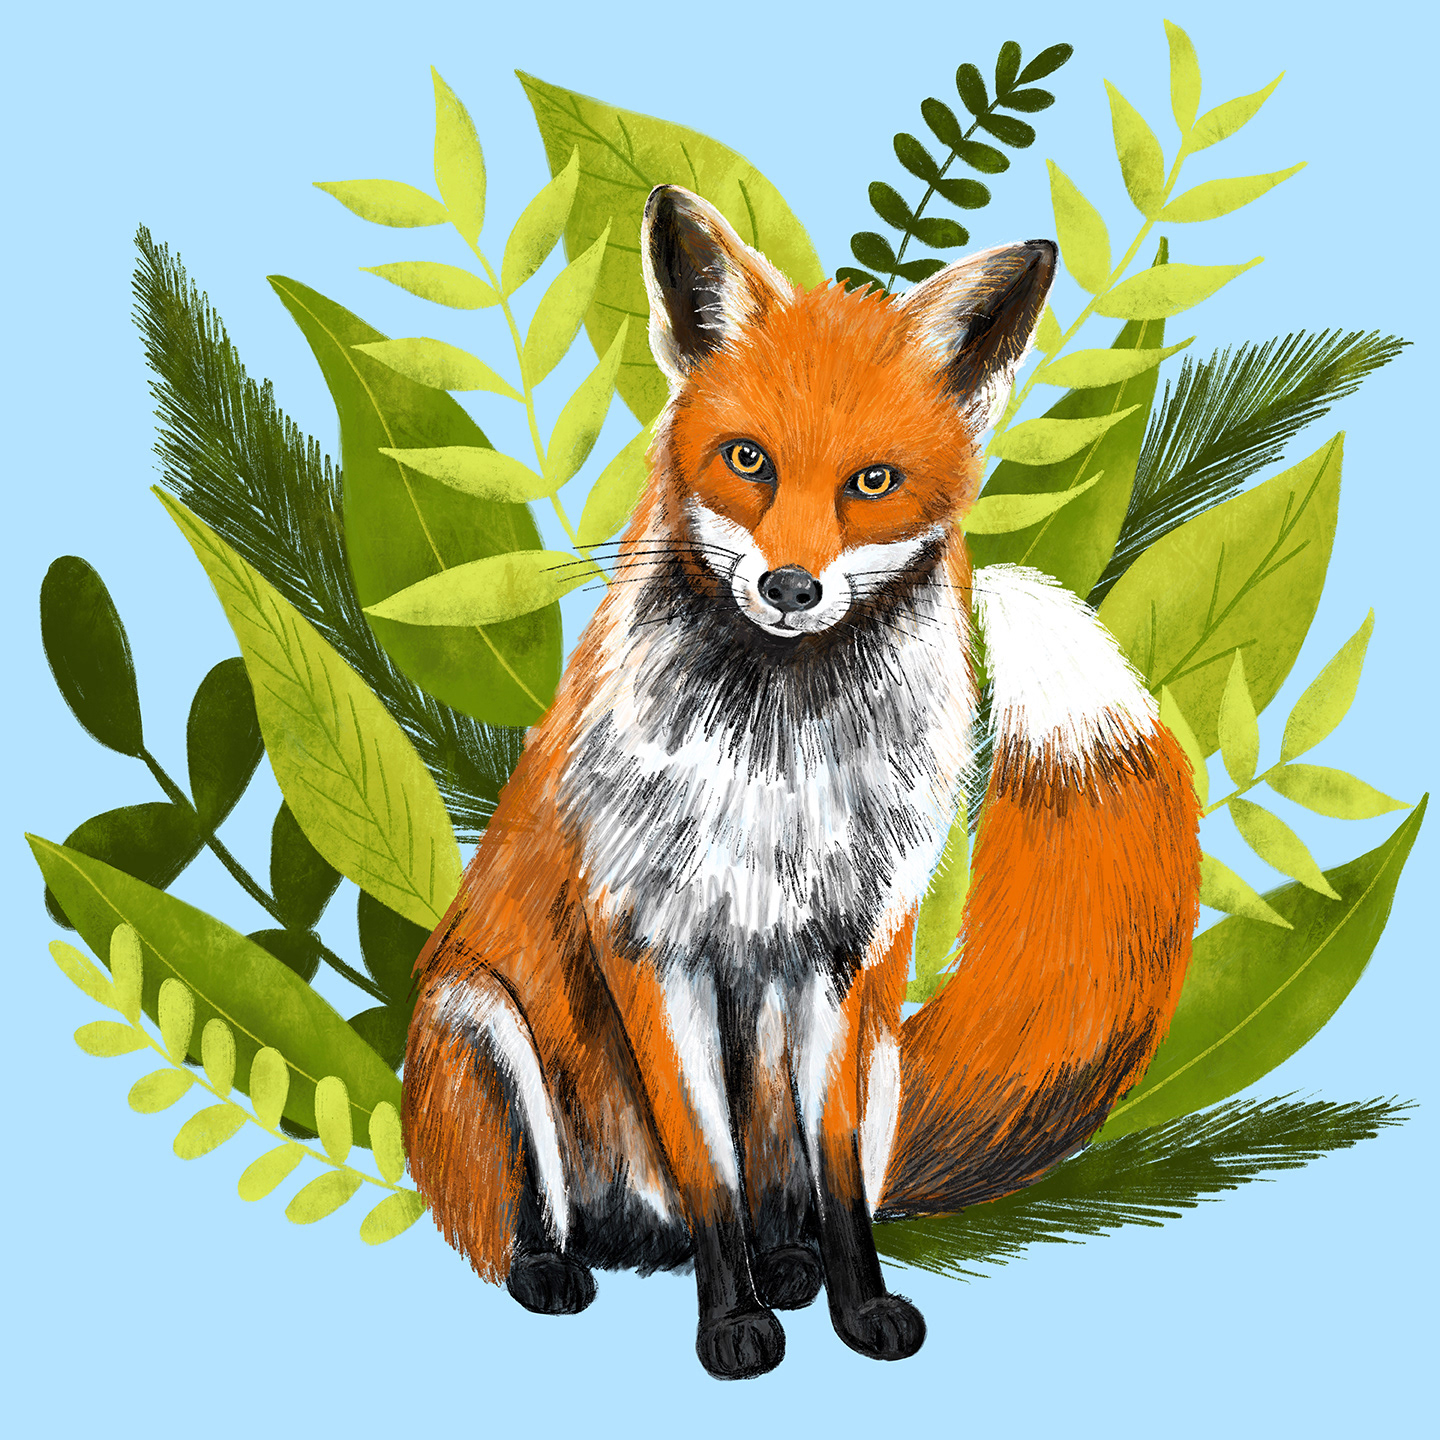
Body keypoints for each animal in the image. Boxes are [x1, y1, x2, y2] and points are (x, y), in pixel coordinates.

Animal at [402, 185, 1202, 1380]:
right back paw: (561, 1268)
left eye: (872, 483)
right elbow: (709, 1168)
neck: (777, 767)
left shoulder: (846, 955)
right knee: (535, 1218)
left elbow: (828, 1175)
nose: (789, 586)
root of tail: (633, 1235)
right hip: (478, 1024)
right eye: (747, 460)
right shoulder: (652, 947)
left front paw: (857, 1303)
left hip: (874, 1058)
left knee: (795, 1182)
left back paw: (787, 1263)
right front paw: (732, 1327)